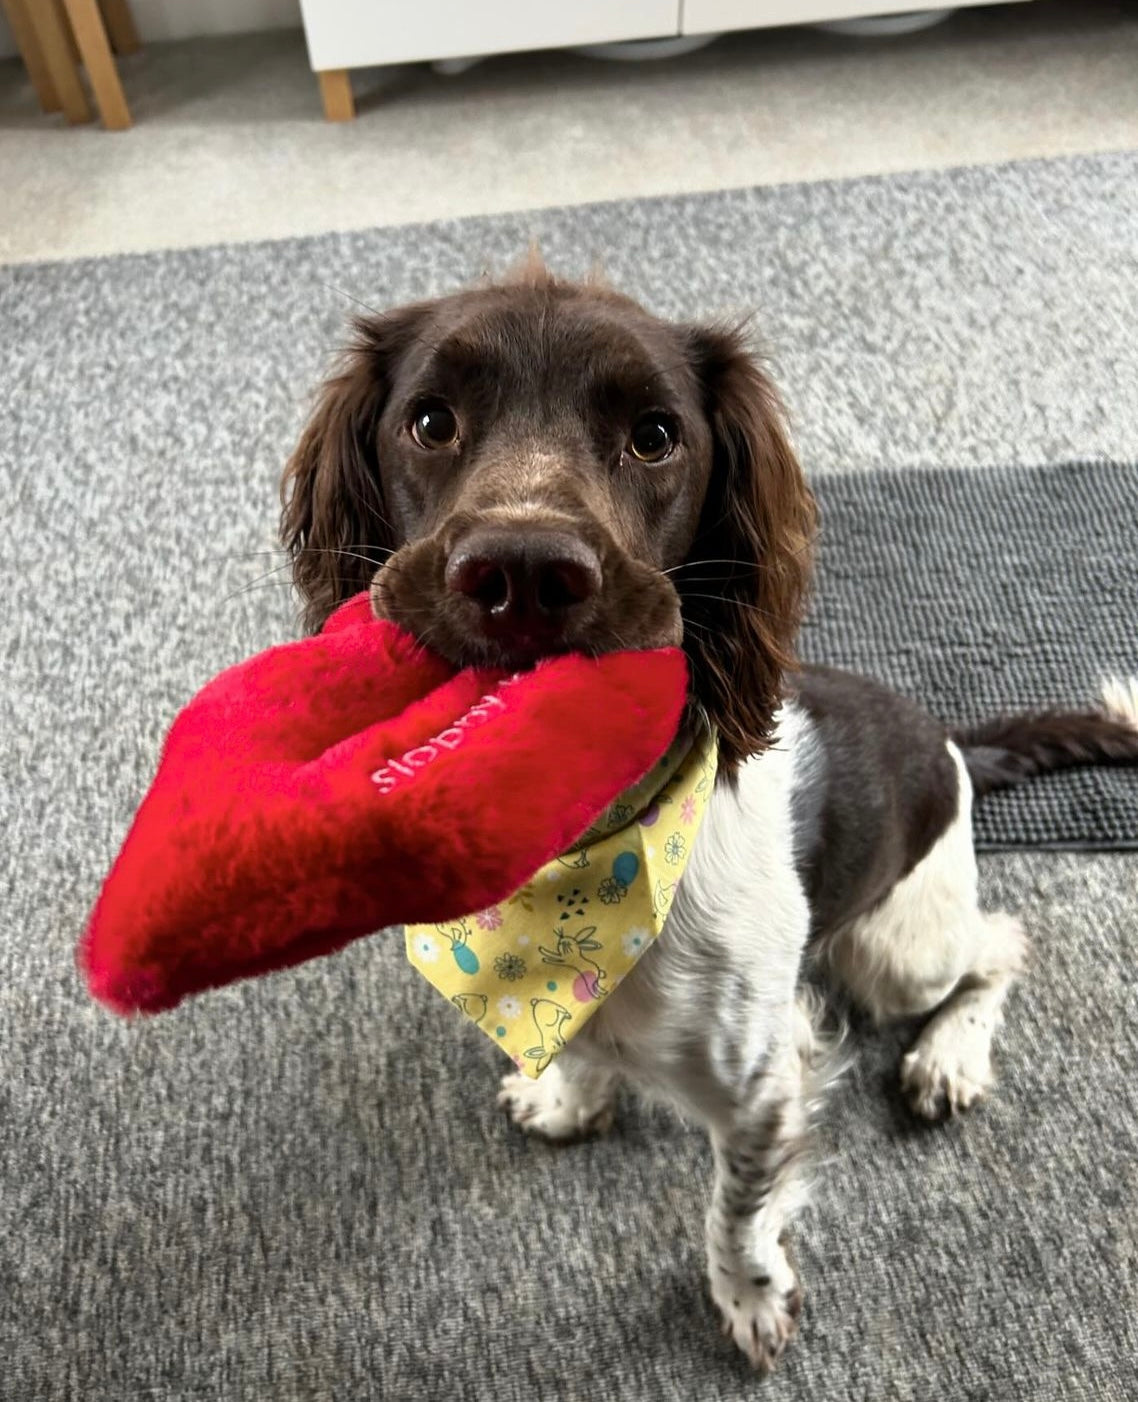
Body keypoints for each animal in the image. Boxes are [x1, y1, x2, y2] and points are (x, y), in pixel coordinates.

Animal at [277, 263, 1138, 1368]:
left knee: (998, 946)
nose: (523, 574)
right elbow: (580, 1045)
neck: (585, 865)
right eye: (430, 421)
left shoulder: (762, 1087)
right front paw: (567, 1097)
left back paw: (948, 1056)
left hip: (895, 948)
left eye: (655, 435)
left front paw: (749, 1296)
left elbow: (736, 1211)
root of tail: (950, 738)